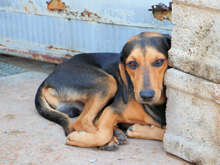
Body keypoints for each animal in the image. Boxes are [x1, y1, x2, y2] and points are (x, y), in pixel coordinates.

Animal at [35, 31, 171, 150]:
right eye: (132, 64)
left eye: (159, 61)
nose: (146, 96)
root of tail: (48, 78)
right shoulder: (111, 110)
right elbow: (102, 134)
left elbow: (165, 134)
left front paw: (139, 129)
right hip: (108, 82)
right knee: (82, 121)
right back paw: (110, 139)